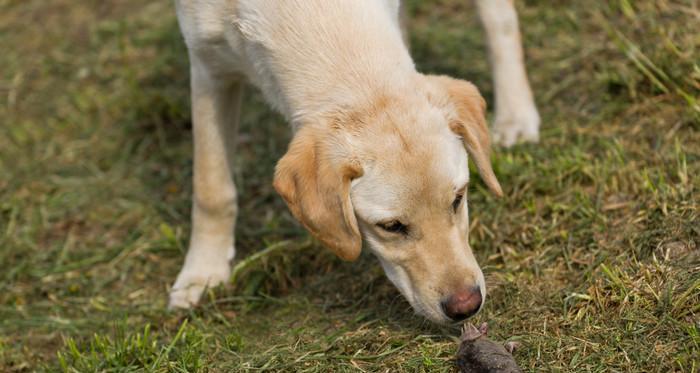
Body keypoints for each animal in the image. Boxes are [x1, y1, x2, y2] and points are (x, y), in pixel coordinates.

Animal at [170, 0, 540, 322]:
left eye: (458, 199)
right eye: (391, 226)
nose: (466, 306)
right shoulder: (206, 65)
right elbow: (211, 188)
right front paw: (202, 273)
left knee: (500, 19)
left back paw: (516, 115)